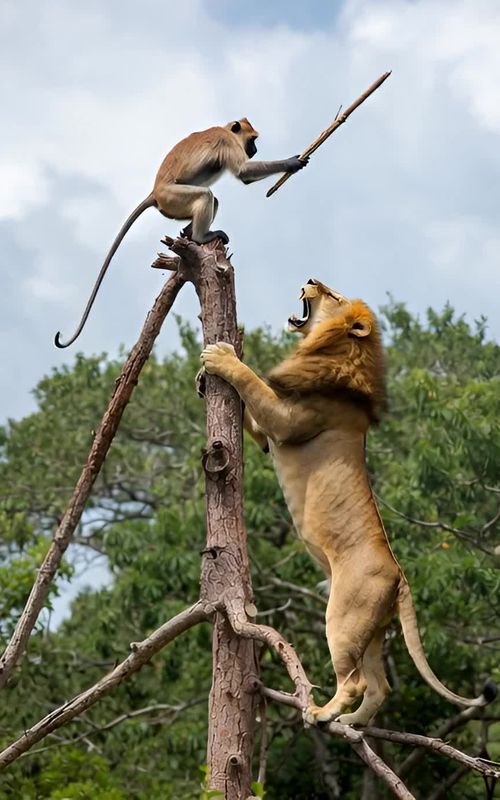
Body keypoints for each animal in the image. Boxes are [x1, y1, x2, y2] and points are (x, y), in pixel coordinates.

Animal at [54, 118, 308, 348]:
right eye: (252, 140)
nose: (255, 150)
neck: (226, 130)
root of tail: (155, 193)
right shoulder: (226, 141)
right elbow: (243, 172)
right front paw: (292, 163)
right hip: (173, 197)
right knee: (206, 195)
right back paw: (199, 237)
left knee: (212, 199)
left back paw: (187, 232)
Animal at [200, 279, 497, 726]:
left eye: (333, 296)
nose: (310, 278)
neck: (337, 352)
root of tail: (401, 578)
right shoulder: (267, 435)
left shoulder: (285, 422)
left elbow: (251, 382)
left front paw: (221, 356)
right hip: (370, 629)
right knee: (379, 686)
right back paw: (351, 723)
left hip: (342, 617)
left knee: (355, 681)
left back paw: (321, 713)